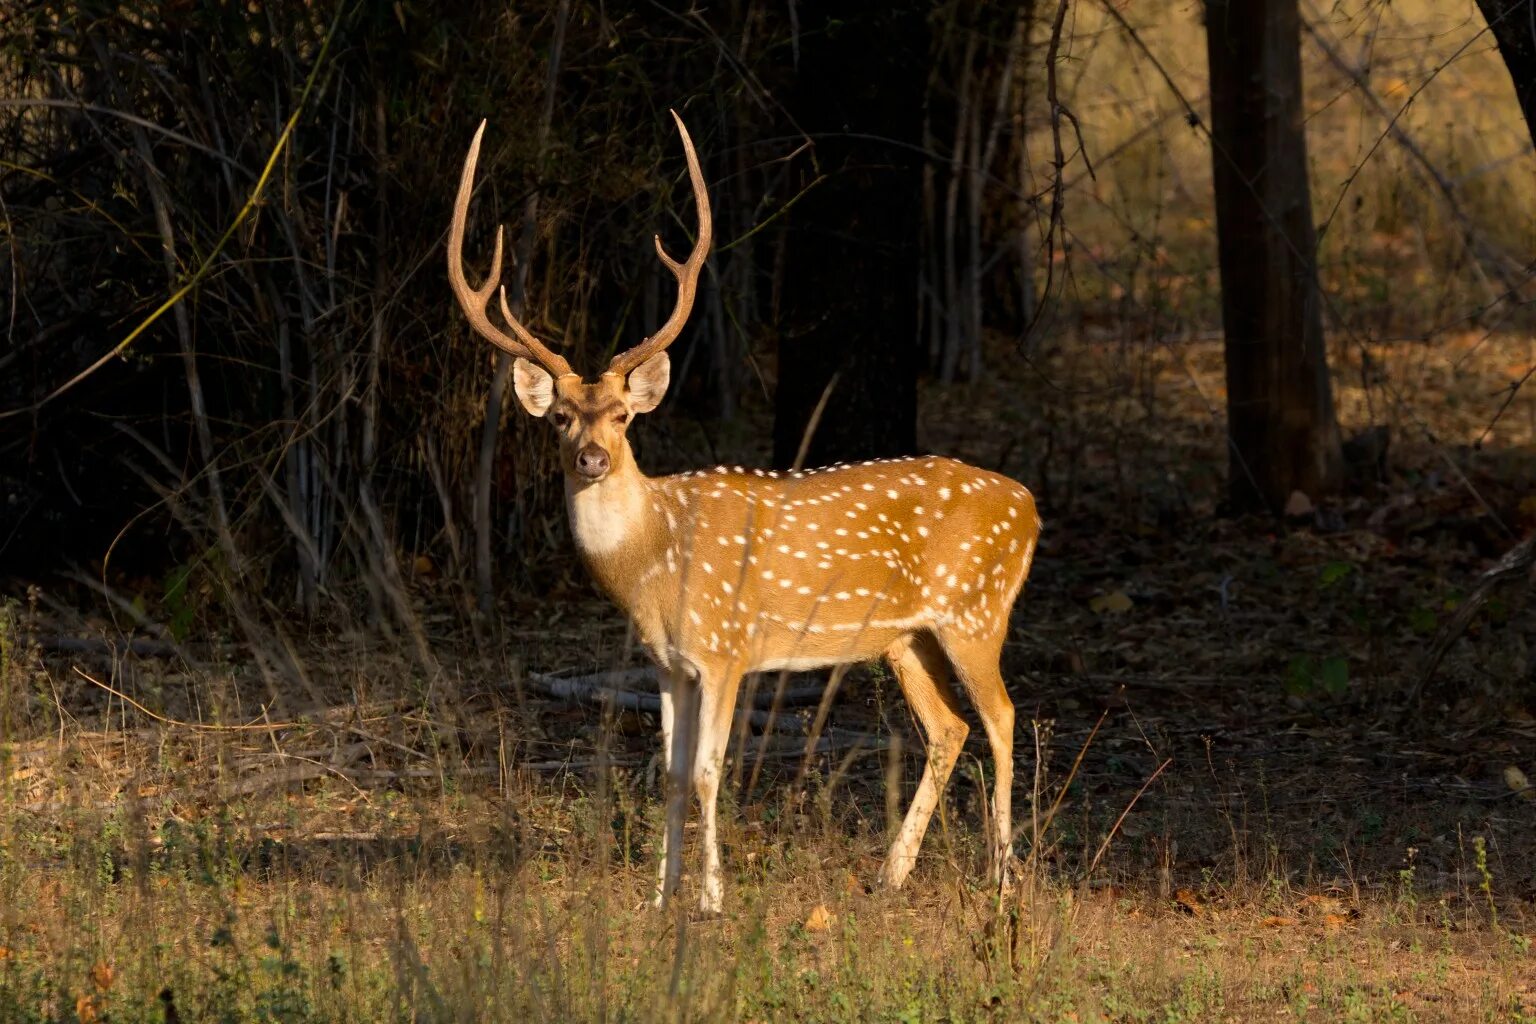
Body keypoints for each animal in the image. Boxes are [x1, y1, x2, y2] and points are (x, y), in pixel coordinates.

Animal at [448, 112, 1038, 914]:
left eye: (623, 418)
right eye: (561, 418)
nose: (592, 459)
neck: (653, 560)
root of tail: (1030, 506)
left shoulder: (724, 648)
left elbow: (706, 771)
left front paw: (710, 900)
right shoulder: (667, 665)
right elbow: (668, 774)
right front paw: (659, 898)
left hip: (976, 612)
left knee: (1003, 716)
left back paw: (1004, 880)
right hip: (906, 635)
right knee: (948, 727)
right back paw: (890, 874)